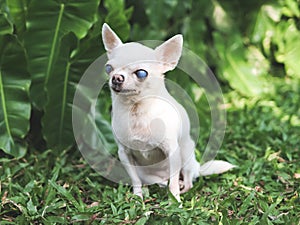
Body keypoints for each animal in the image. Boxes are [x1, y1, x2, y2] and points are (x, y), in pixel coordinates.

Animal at [102, 23, 236, 201]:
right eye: (108, 68)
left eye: (141, 73)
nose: (116, 78)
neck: (137, 111)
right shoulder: (124, 154)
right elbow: (135, 180)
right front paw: (137, 197)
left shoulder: (172, 151)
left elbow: (173, 184)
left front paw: (175, 201)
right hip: (148, 174)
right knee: (160, 182)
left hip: (187, 156)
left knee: (186, 179)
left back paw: (183, 187)